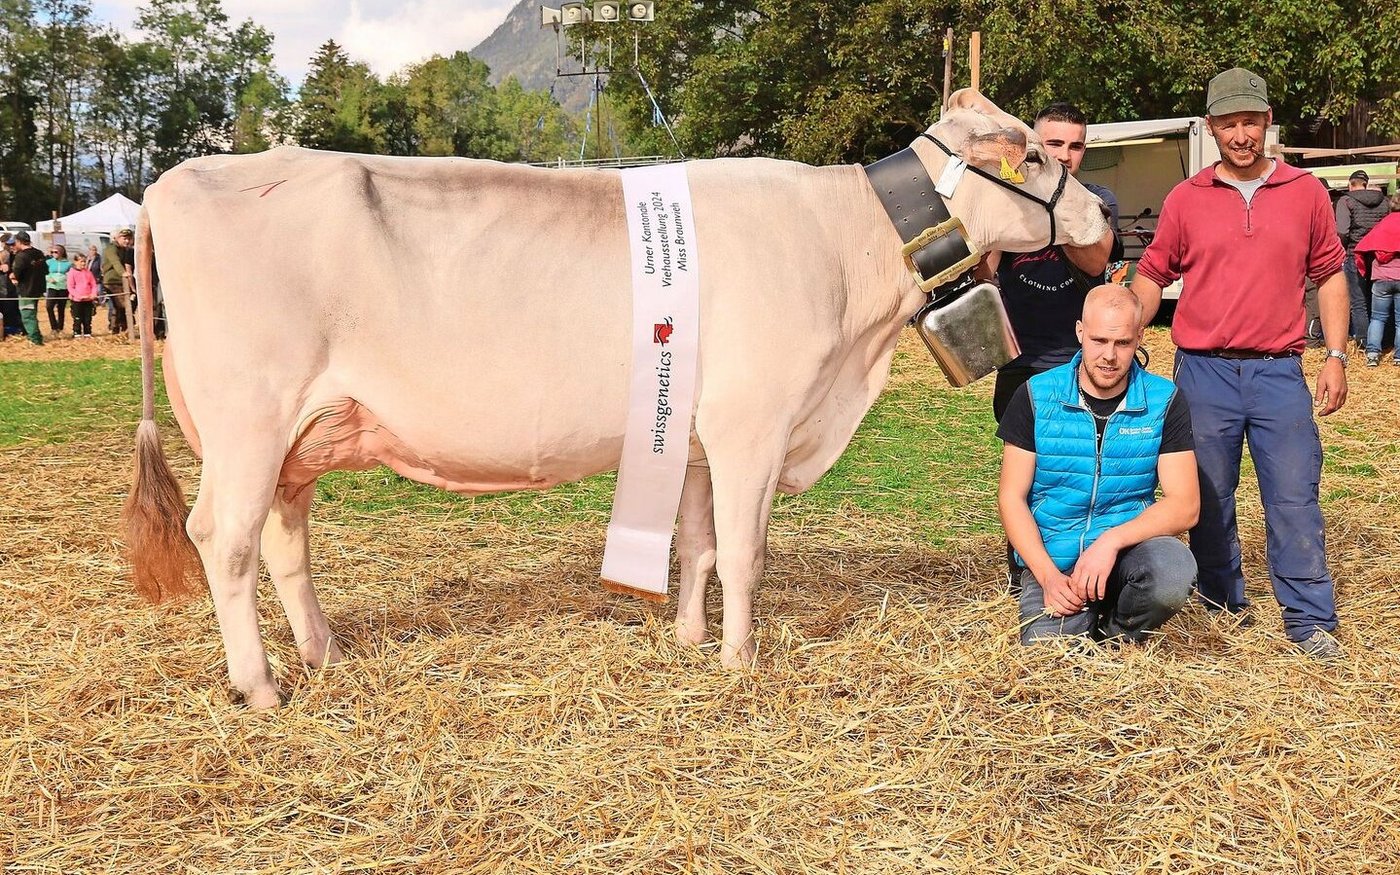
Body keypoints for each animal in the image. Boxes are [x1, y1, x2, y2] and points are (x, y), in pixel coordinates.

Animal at [125, 91, 1110, 708]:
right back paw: (260, 685)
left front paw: (688, 639)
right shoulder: (755, 422)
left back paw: (323, 652)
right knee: (224, 539)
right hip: (249, 423)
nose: (1103, 212)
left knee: (284, 541)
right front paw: (739, 661)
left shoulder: (705, 437)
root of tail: (173, 182)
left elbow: (700, 546)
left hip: (304, 434)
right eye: (1031, 151)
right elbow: (746, 553)